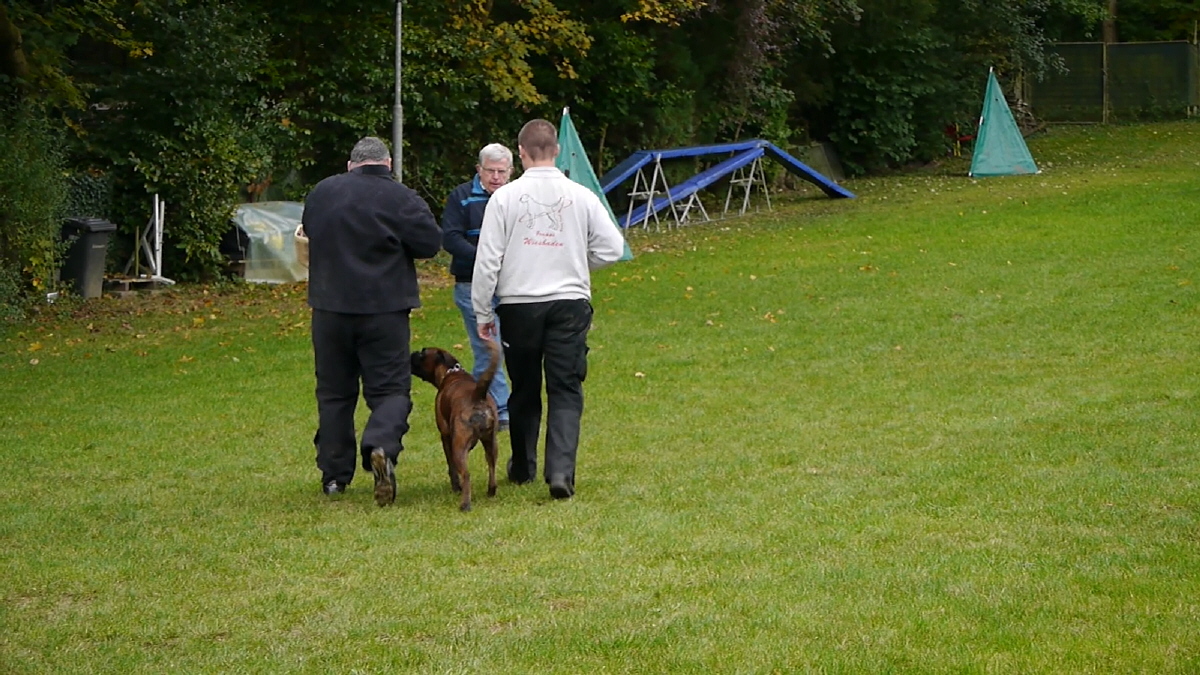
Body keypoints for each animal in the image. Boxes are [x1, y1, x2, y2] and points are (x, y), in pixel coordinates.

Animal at [410, 339, 501, 511]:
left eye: (423, 353)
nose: (412, 353)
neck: (450, 372)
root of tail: (477, 396)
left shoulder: (445, 436)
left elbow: (450, 465)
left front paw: (455, 487)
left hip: (459, 446)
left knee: (466, 474)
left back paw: (465, 504)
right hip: (491, 442)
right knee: (492, 466)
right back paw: (491, 491)